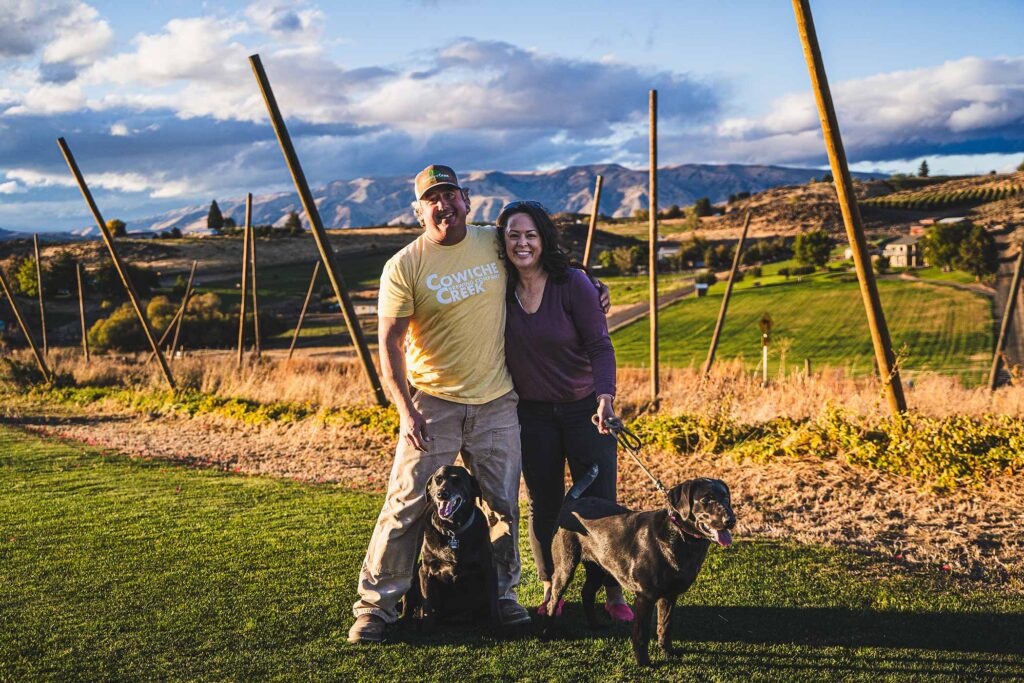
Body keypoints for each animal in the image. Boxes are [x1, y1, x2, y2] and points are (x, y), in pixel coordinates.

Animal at [407, 462, 503, 626]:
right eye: (438, 479)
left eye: (457, 480)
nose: (441, 494)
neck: (452, 530)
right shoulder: (425, 571)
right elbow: (427, 606)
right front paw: (428, 626)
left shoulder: (489, 568)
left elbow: (494, 604)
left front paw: (497, 625)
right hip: (414, 572)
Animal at [540, 473, 733, 663]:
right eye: (706, 499)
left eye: (726, 497)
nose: (730, 519)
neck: (679, 536)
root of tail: (571, 502)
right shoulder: (645, 597)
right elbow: (641, 635)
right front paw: (644, 663)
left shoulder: (670, 596)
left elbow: (665, 627)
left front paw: (668, 651)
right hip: (565, 568)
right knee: (553, 601)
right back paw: (547, 633)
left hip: (598, 568)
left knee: (586, 593)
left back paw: (594, 625)